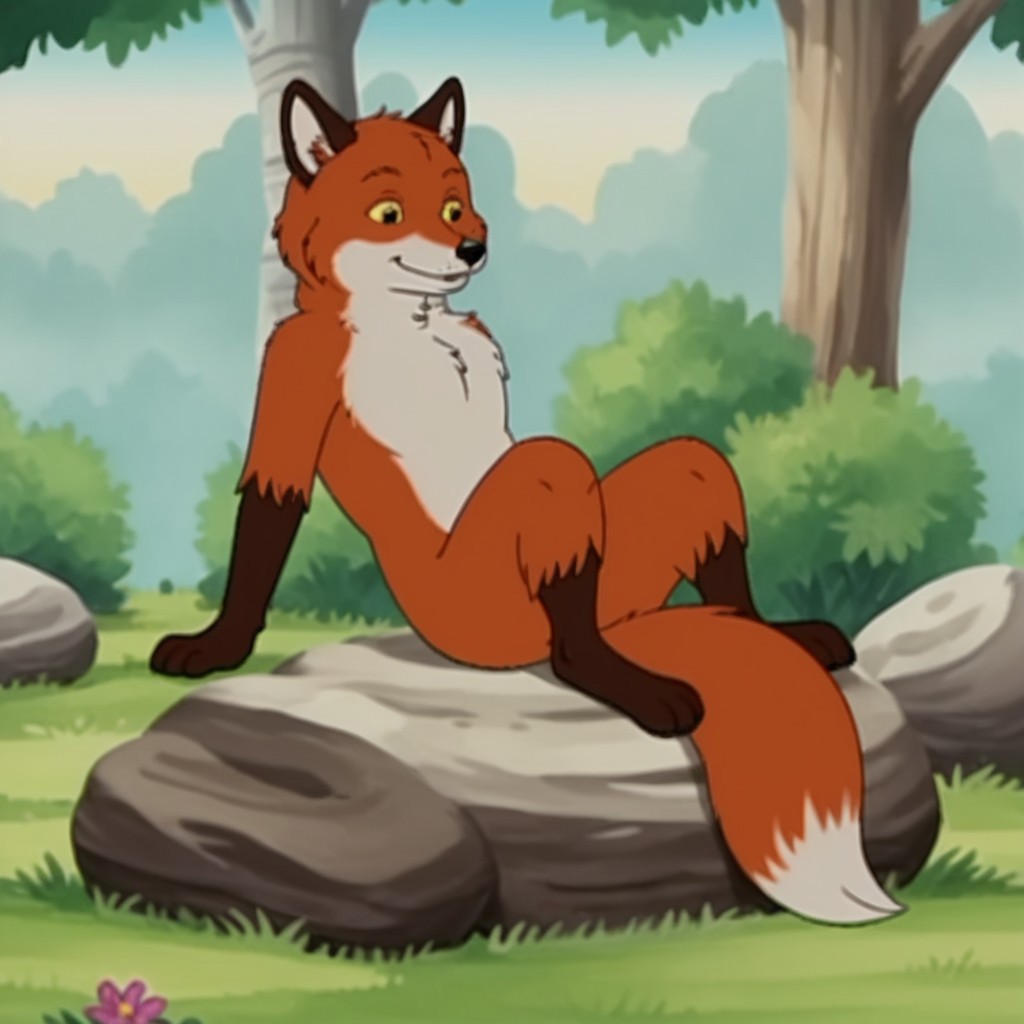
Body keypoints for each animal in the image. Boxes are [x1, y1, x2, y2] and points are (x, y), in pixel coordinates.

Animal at [150, 76, 905, 926]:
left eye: (454, 208)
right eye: (388, 212)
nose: (471, 250)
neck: (405, 320)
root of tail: (635, 626)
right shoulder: (294, 369)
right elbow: (270, 511)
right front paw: (214, 646)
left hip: (641, 542)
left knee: (695, 470)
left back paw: (778, 633)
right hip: (494, 601)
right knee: (558, 521)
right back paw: (641, 686)